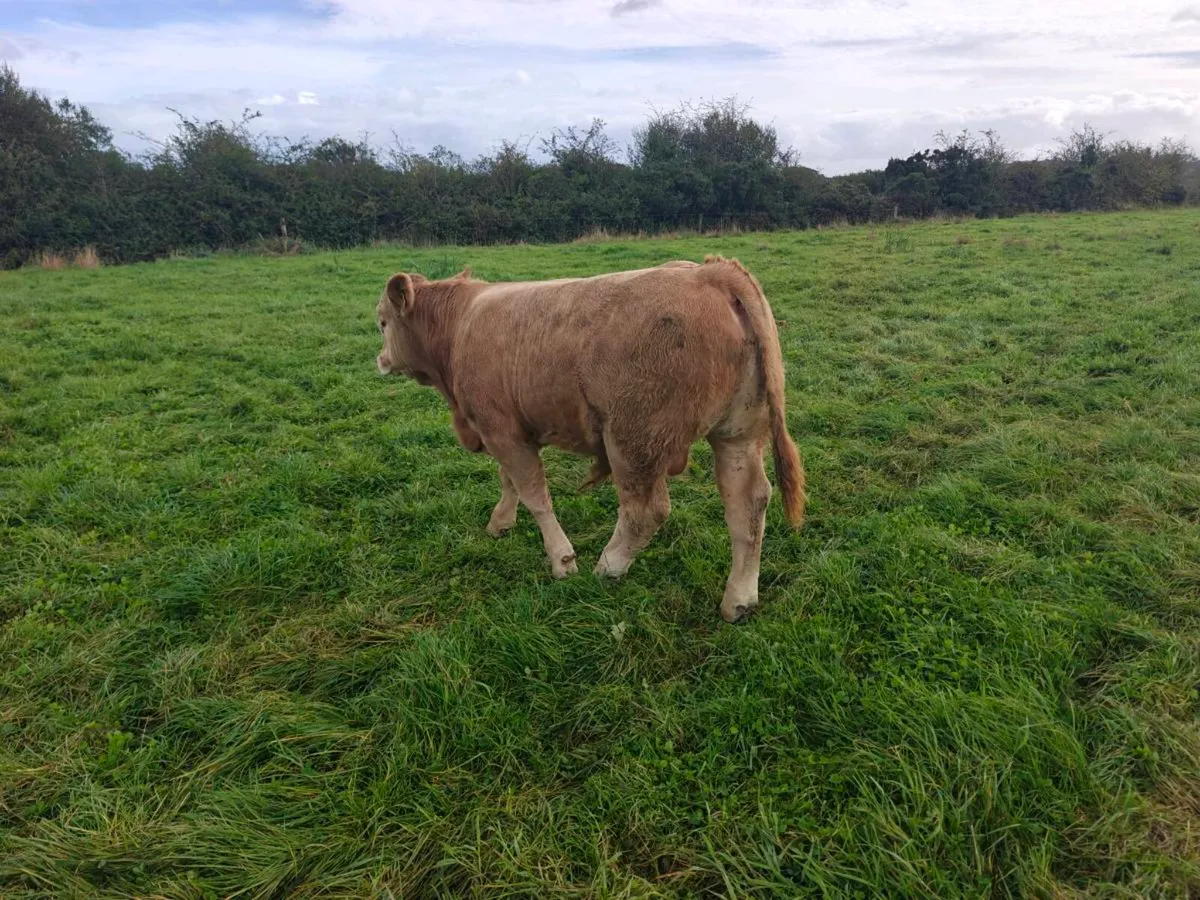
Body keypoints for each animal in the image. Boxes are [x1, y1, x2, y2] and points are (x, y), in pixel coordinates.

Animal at [375, 256, 805, 622]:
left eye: (382, 323)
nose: (380, 359)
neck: (459, 325)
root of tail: (709, 272)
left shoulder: (503, 430)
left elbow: (534, 493)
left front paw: (561, 559)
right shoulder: (503, 430)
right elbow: (508, 481)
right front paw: (500, 522)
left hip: (634, 440)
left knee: (646, 511)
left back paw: (608, 566)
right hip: (738, 434)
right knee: (748, 504)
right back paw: (739, 599)